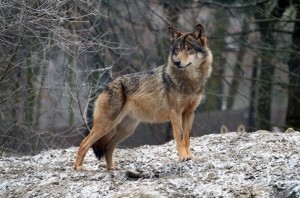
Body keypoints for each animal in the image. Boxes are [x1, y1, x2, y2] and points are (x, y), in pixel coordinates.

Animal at [75, 22, 213, 169]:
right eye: (177, 50)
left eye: (189, 49)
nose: (177, 62)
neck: (189, 81)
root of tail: (106, 86)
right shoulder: (175, 113)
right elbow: (179, 136)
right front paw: (183, 157)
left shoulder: (189, 113)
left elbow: (186, 137)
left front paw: (190, 156)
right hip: (106, 125)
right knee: (84, 143)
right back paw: (78, 168)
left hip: (126, 130)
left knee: (108, 148)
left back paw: (111, 168)